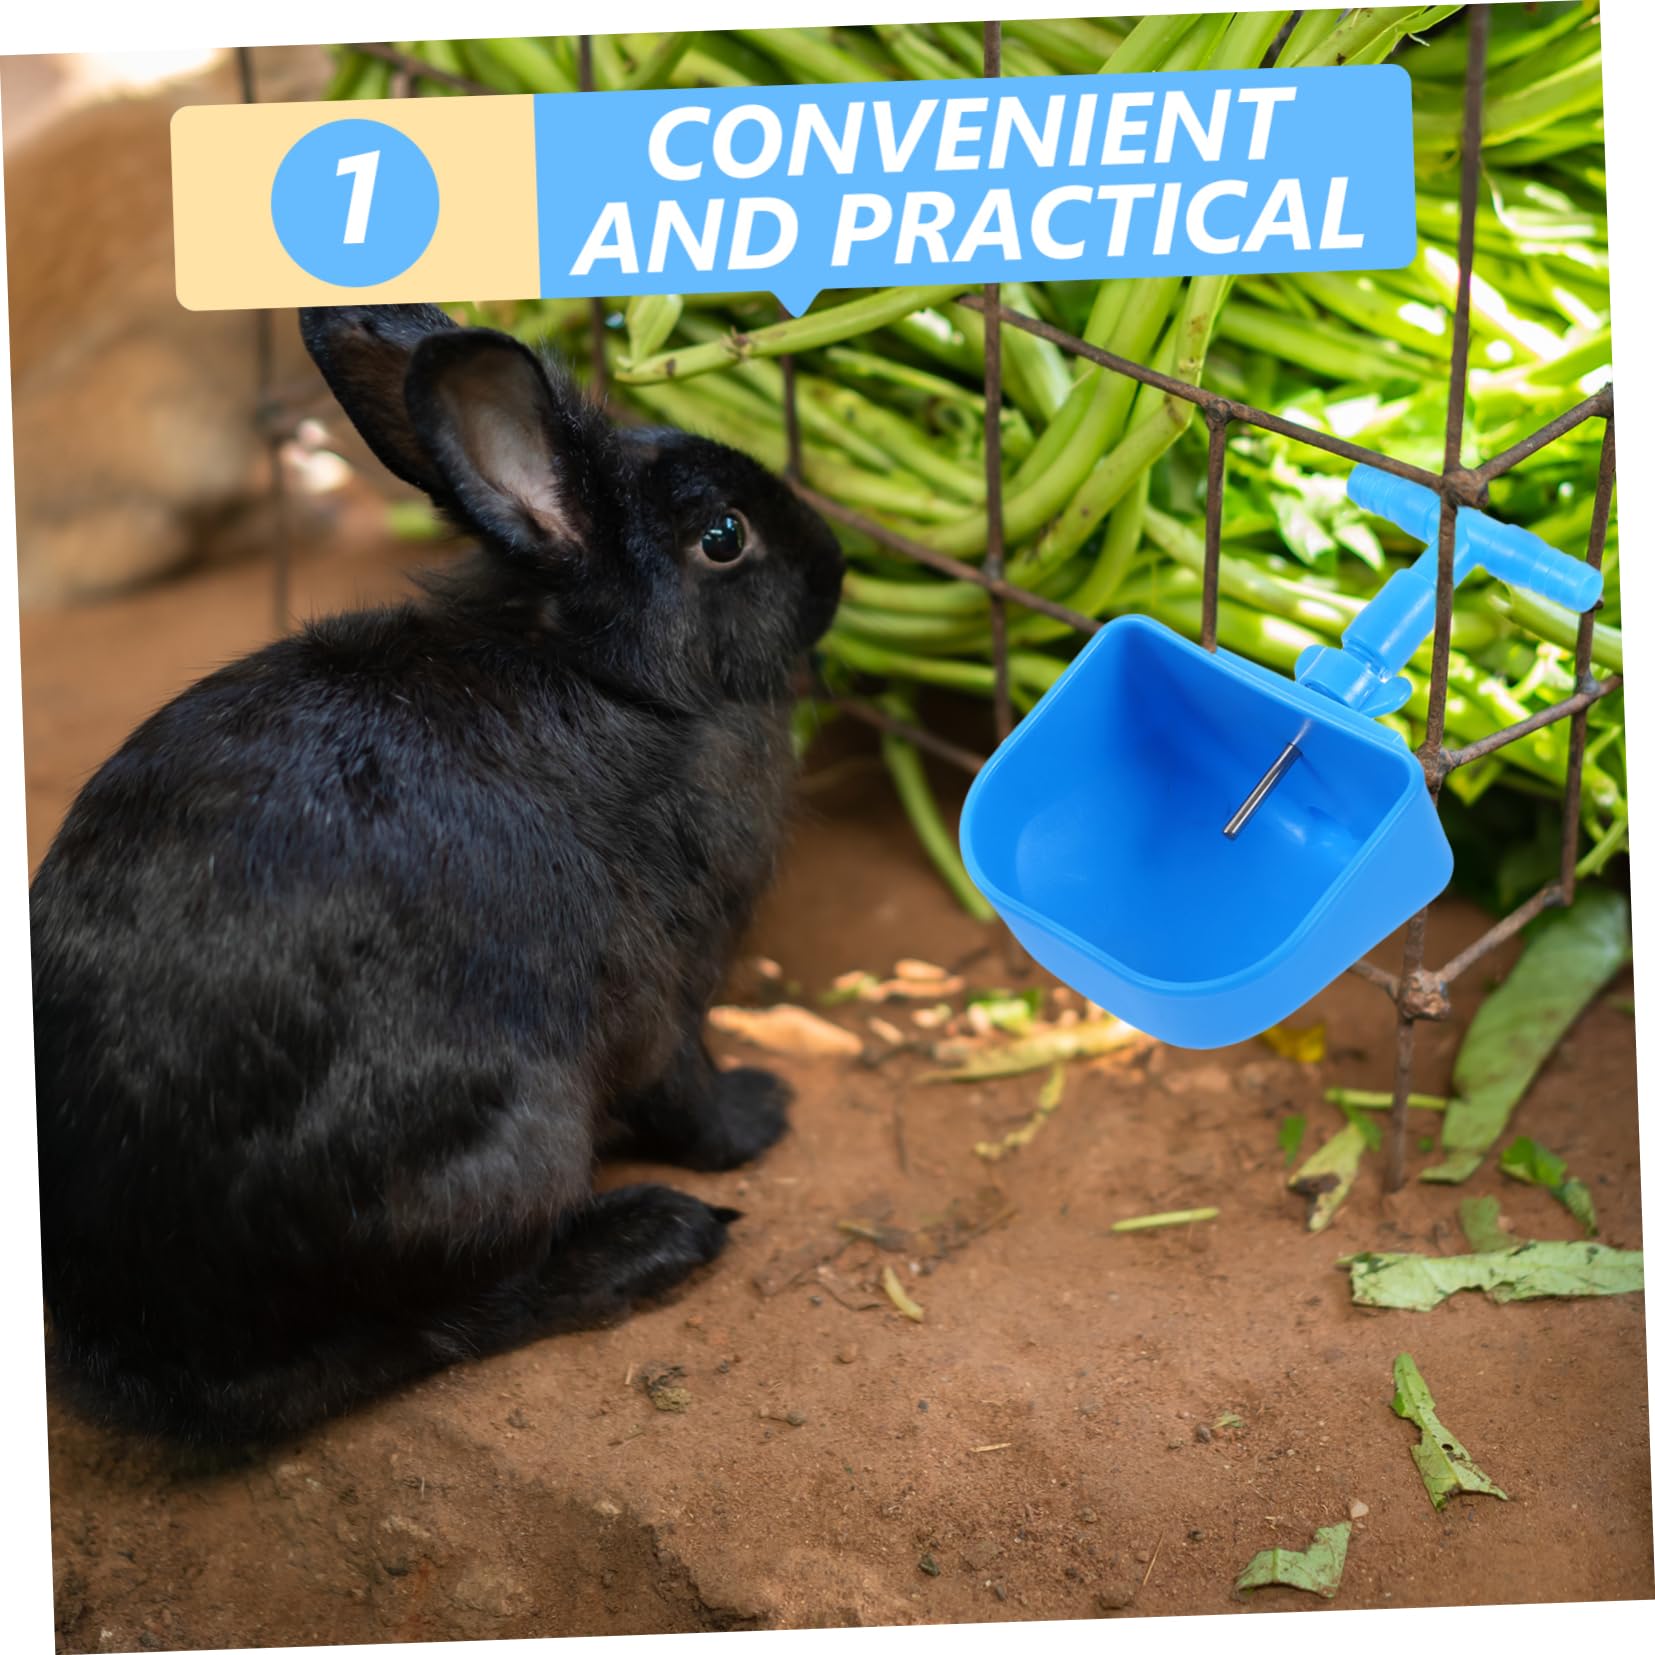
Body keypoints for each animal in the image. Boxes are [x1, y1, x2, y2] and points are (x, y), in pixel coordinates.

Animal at [30, 302, 844, 1445]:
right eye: (724, 537)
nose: (836, 562)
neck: (614, 677)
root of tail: (163, 1344)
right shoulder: (662, 984)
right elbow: (684, 1088)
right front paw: (761, 1115)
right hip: (513, 1142)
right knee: (460, 1314)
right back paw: (654, 1240)